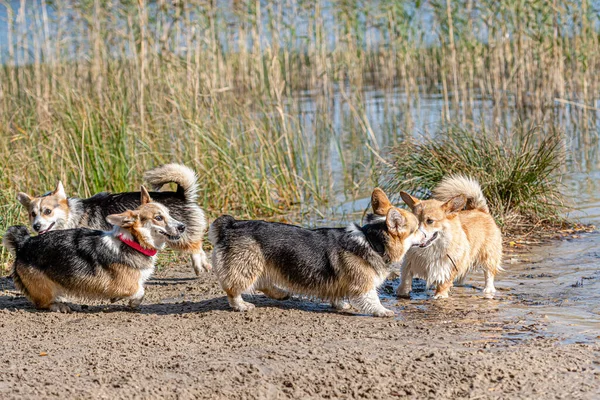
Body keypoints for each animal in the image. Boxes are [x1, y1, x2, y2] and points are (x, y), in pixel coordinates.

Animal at [2, 188, 180, 312]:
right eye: (158, 218)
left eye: (169, 214)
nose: (182, 227)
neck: (132, 242)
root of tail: (24, 242)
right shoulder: (126, 285)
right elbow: (140, 290)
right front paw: (129, 300)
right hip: (45, 288)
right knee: (42, 303)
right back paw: (59, 305)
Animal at [15, 164, 211, 276]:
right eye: (33, 213)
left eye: (47, 211)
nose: (36, 226)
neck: (72, 216)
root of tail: (181, 195)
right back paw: (203, 265)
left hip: (177, 236)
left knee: (195, 245)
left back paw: (200, 265)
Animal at [209, 189, 424, 318]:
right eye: (416, 229)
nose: (427, 235)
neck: (372, 241)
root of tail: (230, 225)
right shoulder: (362, 284)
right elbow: (372, 299)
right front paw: (383, 311)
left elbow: (338, 295)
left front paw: (340, 305)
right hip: (247, 266)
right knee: (233, 289)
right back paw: (241, 305)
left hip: (261, 265)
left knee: (262, 283)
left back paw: (280, 293)